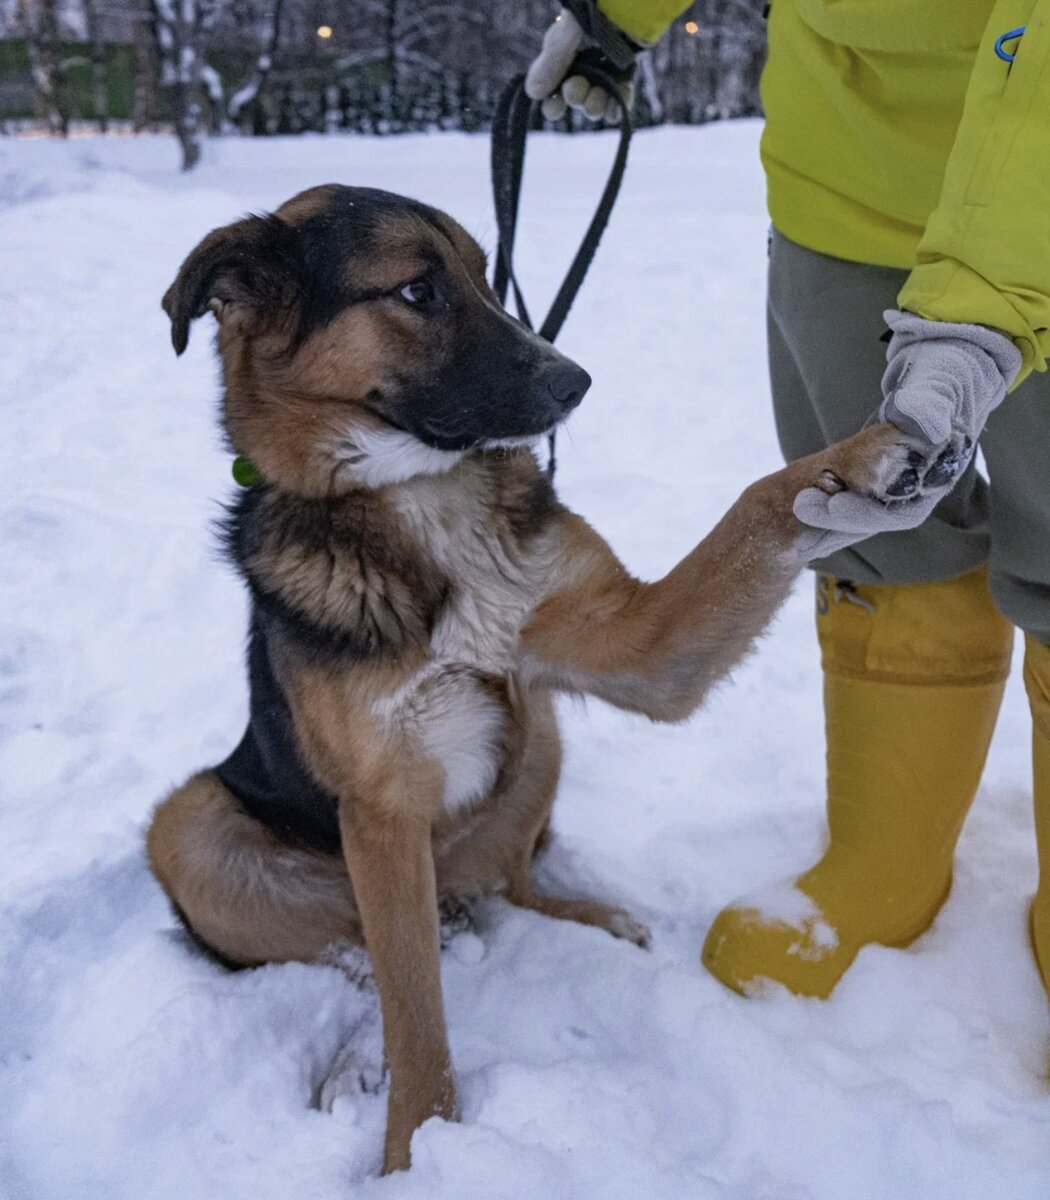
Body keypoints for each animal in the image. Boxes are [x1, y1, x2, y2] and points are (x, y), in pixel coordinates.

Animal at [145, 184, 950, 1171]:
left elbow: (762, 504)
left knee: (505, 886)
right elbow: (416, 1013)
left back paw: (594, 920)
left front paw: (865, 459)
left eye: (488, 278)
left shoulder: (635, 646)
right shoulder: (381, 809)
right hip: (193, 825)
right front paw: (416, 1151)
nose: (577, 382)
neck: (424, 499)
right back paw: (356, 1056)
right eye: (416, 290)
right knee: (362, 953)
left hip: (538, 744)